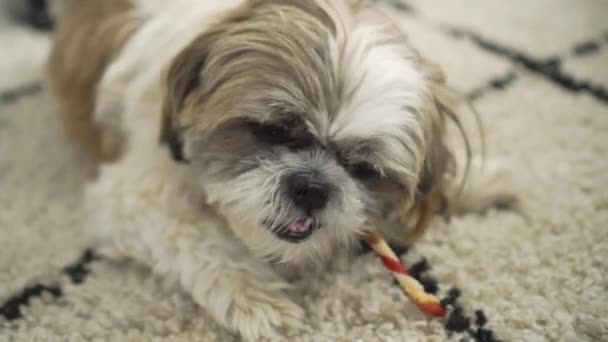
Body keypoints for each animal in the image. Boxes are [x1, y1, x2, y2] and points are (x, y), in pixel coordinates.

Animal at [46, 0, 512, 340]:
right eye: (270, 131)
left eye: (362, 167)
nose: (311, 186)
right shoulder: (131, 197)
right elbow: (195, 237)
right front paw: (256, 298)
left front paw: (478, 182)